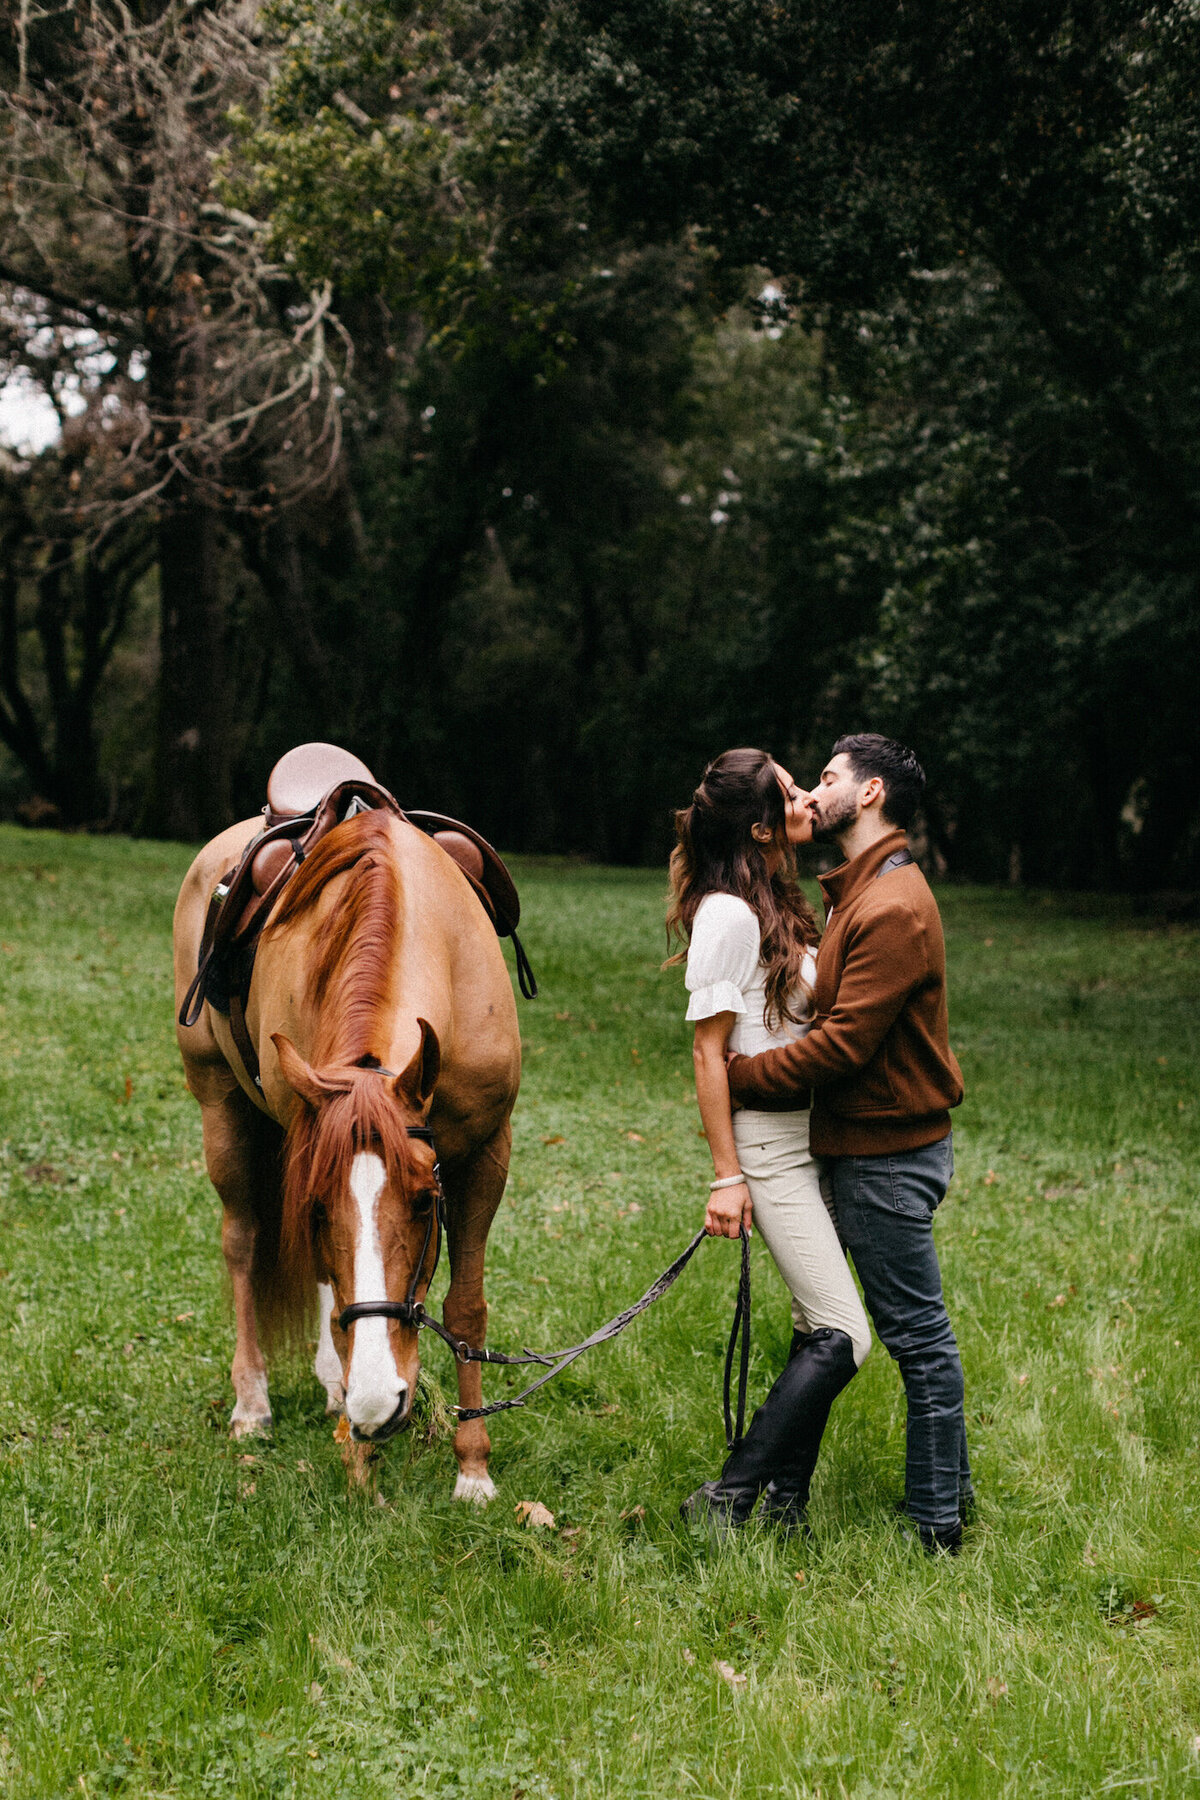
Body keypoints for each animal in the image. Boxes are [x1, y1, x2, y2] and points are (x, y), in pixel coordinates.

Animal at [172, 810, 521, 1497]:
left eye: (426, 1202)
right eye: (315, 1208)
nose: (376, 1403)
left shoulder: (486, 1154)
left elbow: (466, 1309)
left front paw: (473, 1471)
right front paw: (361, 1461)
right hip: (220, 1108)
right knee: (242, 1244)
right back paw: (253, 1402)